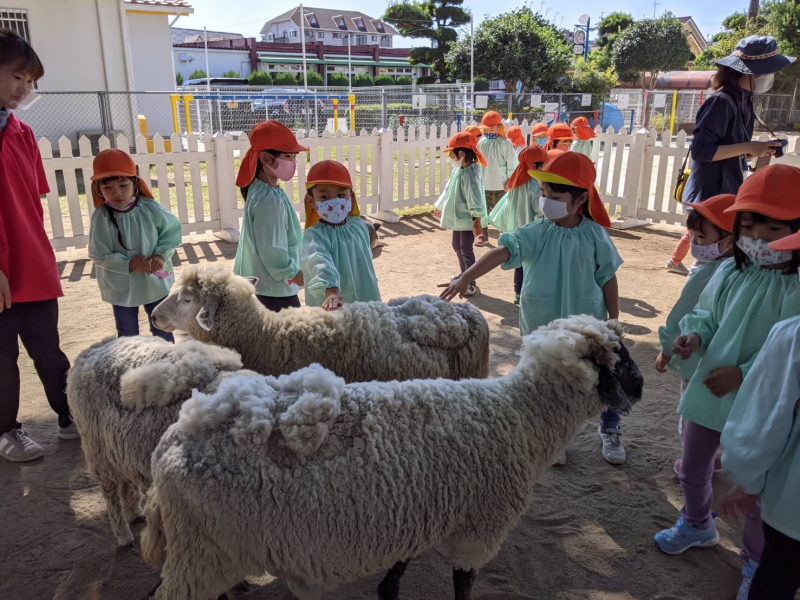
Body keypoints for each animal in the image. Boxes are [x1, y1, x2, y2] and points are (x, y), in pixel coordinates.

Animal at [66, 335, 247, 548]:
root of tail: (91, 349)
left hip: (120, 446)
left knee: (126, 480)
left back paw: (134, 512)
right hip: (97, 449)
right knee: (111, 495)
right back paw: (123, 535)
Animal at [141, 315, 643, 600]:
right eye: (618, 358)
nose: (641, 387)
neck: (519, 416)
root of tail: (168, 447)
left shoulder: (420, 513)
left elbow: (395, 576)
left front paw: (388, 589)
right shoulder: (477, 530)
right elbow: (462, 587)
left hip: (202, 550)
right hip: (204, 552)